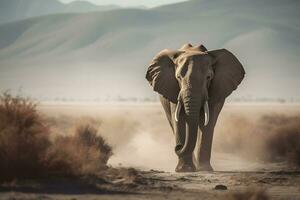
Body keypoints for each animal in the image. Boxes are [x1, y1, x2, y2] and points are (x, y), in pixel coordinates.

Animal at [146, 43, 246, 172]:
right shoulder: (174, 90)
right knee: (173, 123)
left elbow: (207, 122)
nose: (178, 146)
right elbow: (179, 121)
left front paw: (205, 170)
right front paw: (184, 170)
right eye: (178, 77)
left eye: (209, 77)